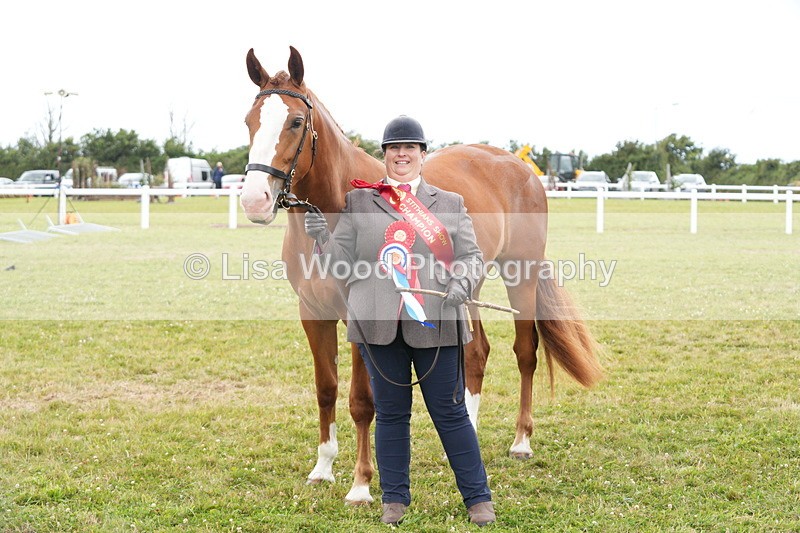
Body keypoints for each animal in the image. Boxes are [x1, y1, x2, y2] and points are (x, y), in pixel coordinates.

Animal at [239, 46, 602, 505]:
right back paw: (467, 432)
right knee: (476, 352)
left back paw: (521, 441)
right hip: (465, 286)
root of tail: (521, 170)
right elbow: (326, 390)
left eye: (296, 122)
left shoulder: (363, 316)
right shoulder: (313, 313)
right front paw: (322, 468)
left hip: (522, 275)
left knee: (525, 352)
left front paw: (361, 485)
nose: (255, 200)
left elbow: (362, 400)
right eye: (249, 122)